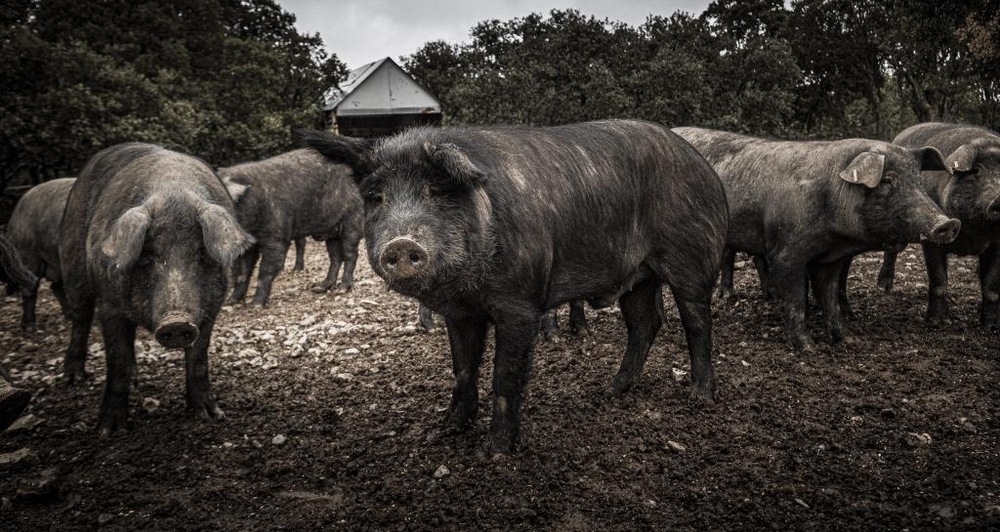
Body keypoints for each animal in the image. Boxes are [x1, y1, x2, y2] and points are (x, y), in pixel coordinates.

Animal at [219, 150, 364, 308]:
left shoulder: (276, 236)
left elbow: (265, 270)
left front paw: (256, 305)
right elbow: (242, 271)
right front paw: (230, 302)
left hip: (352, 219)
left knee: (351, 254)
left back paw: (342, 289)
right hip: (332, 229)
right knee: (335, 257)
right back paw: (320, 288)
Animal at [300, 119, 732, 454]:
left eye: (437, 192)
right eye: (376, 197)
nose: (401, 244)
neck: (467, 286)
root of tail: (703, 165)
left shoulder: (521, 303)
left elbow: (505, 375)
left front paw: (495, 452)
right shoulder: (460, 312)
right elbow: (463, 368)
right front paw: (446, 430)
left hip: (692, 257)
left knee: (697, 322)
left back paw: (699, 397)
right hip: (637, 275)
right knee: (646, 322)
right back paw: (611, 391)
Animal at [676, 127, 956, 352]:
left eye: (918, 181)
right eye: (887, 182)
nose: (948, 223)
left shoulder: (828, 259)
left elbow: (830, 299)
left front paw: (851, 341)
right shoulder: (786, 252)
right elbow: (796, 300)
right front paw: (808, 348)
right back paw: (725, 297)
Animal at [876, 122, 1000, 326]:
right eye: (976, 171)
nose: (998, 198)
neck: (973, 237)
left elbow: (991, 285)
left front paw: (991, 326)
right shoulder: (932, 236)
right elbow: (938, 278)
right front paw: (938, 322)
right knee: (891, 252)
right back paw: (884, 289)